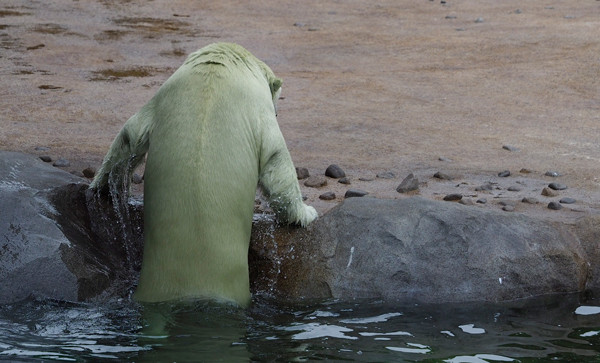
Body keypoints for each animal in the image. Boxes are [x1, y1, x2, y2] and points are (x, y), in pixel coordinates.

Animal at [89, 44, 318, 308]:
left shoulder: (166, 92)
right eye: (277, 98)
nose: (280, 111)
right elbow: (276, 160)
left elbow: (131, 135)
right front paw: (306, 213)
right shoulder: (257, 109)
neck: (218, 70)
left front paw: (103, 186)